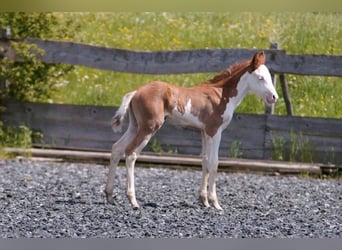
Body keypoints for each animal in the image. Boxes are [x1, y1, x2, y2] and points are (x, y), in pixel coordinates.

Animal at [105, 50, 280, 209]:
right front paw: (215, 203)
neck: (221, 95)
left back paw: (109, 196)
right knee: (130, 153)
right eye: (260, 77)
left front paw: (204, 201)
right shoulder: (215, 131)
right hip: (149, 127)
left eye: (269, 76)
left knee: (117, 148)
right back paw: (133, 200)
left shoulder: (204, 132)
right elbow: (214, 163)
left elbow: (205, 161)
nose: (274, 97)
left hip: (135, 126)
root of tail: (136, 92)